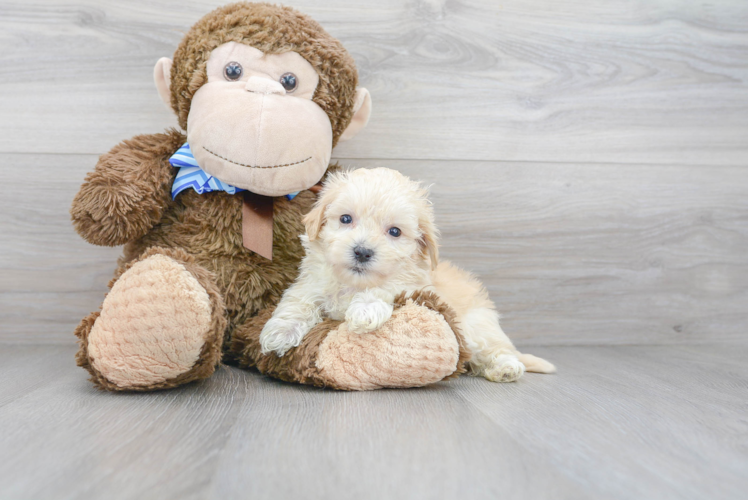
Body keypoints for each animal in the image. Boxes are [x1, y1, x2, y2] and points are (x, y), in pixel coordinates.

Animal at [258, 168, 556, 382]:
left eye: (394, 232)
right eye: (345, 219)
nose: (362, 252)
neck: (354, 284)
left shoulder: (412, 284)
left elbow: (386, 289)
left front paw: (364, 311)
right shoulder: (311, 283)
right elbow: (299, 301)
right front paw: (280, 332)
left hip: (476, 326)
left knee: (495, 350)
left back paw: (505, 368)